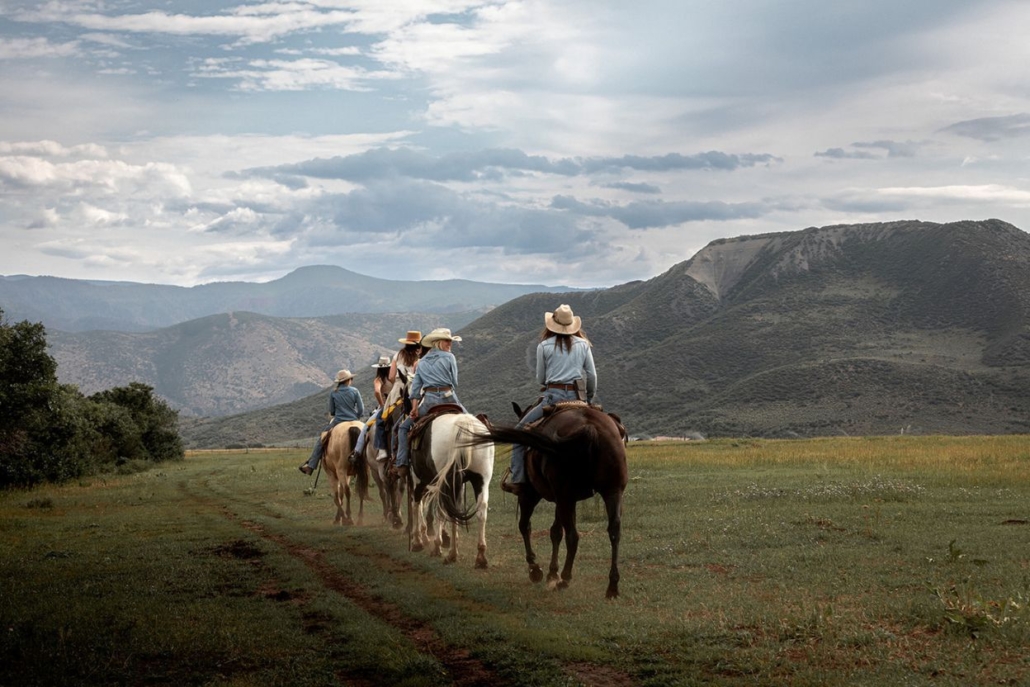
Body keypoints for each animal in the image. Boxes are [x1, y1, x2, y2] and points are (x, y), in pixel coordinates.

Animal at [405, 411, 494, 568]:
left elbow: (417, 505)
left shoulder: (417, 479)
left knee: (440, 509)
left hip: (441, 482)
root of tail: (465, 423)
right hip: (481, 479)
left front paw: (417, 541)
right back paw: (478, 556)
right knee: (480, 511)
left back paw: (439, 547)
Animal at [473, 403, 626, 597]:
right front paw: (552, 573)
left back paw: (565, 579)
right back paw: (612, 586)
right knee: (614, 531)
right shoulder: (564, 500)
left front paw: (535, 569)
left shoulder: (530, 495)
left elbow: (525, 526)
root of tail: (589, 427)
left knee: (573, 536)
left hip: (560, 496)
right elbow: (555, 532)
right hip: (610, 492)